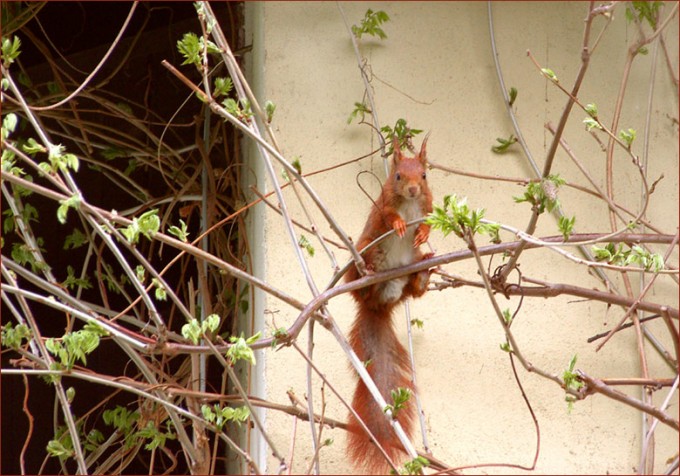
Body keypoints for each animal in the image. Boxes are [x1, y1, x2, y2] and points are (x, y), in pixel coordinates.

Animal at [345, 136, 433, 474]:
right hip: (362, 252)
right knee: (362, 281)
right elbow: (387, 216)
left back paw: (424, 273)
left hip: (407, 277)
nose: (412, 190)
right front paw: (398, 224)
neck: (408, 205)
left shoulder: (428, 205)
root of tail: (379, 307)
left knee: (413, 289)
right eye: (397, 176)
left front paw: (422, 232)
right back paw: (367, 275)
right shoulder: (382, 206)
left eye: (424, 175)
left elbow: (429, 219)